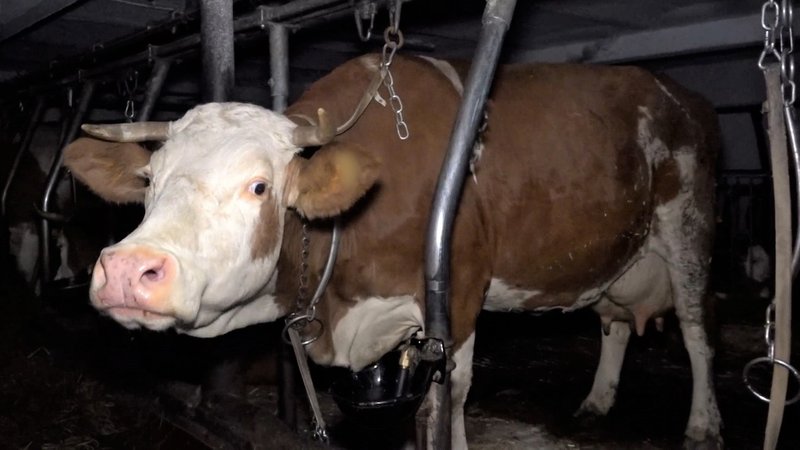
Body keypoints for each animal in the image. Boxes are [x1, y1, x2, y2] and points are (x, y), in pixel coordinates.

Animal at [63, 54, 722, 449]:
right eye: (149, 180)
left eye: (259, 187)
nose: (125, 270)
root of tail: (676, 91)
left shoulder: (459, 292)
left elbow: (447, 399)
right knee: (615, 324)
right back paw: (596, 402)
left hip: (689, 226)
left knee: (696, 331)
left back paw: (703, 424)